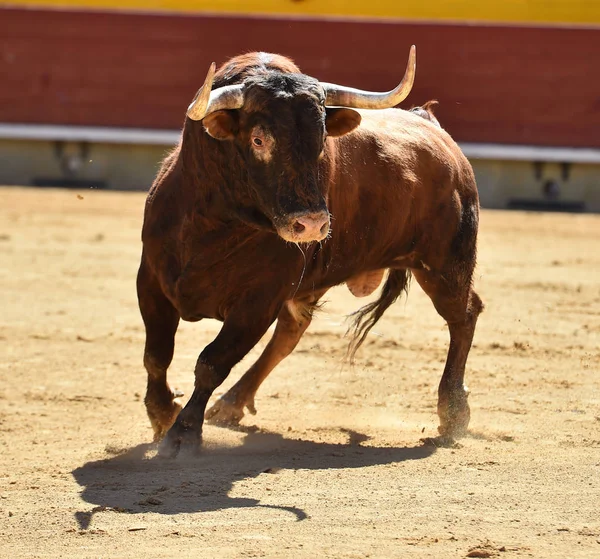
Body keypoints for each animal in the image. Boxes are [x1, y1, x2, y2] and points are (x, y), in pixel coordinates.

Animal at [136, 47, 482, 460]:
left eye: (320, 140)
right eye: (258, 140)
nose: (313, 225)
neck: (212, 222)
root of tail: (435, 130)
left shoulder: (258, 301)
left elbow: (212, 362)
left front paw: (183, 434)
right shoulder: (150, 279)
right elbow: (156, 355)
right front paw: (162, 415)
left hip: (445, 264)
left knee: (463, 316)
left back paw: (453, 411)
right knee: (291, 332)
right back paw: (232, 403)